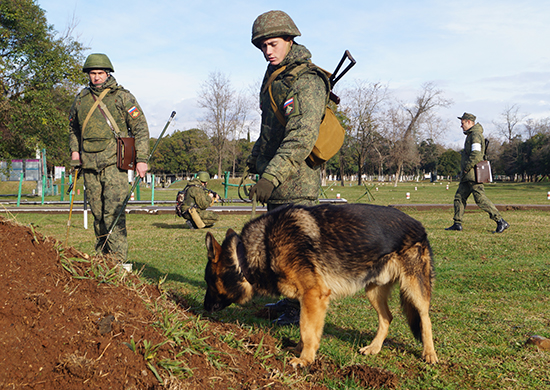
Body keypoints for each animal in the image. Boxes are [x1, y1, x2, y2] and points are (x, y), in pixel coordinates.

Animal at [204, 203, 440, 368]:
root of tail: (419, 225)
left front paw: (305, 359)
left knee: (425, 319)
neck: (246, 254)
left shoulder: (313, 295)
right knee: (387, 317)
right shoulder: (308, 300)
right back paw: (374, 348)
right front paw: (299, 350)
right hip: (373, 290)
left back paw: (429, 354)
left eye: (209, 281)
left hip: (414, 290)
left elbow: (307, 329)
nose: (203, 309)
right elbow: (305, 328)